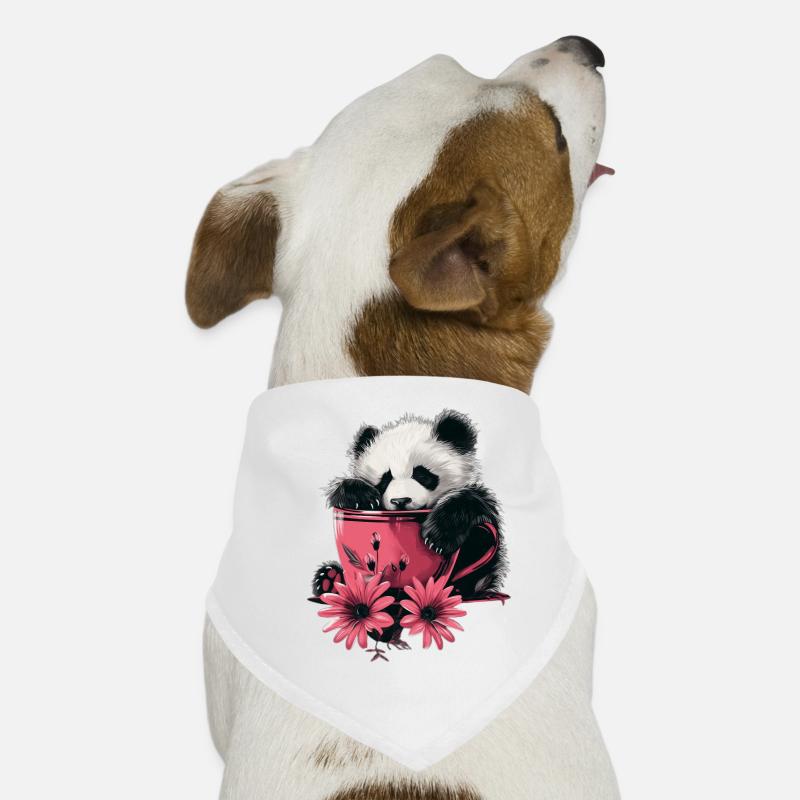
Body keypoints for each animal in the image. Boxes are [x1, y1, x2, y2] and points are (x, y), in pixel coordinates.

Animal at [315, 409, 506, 601]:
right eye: (385, 479)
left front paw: (439, 537)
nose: (400, 501)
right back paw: (329, 578)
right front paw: (361, 497)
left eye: (421, 474)